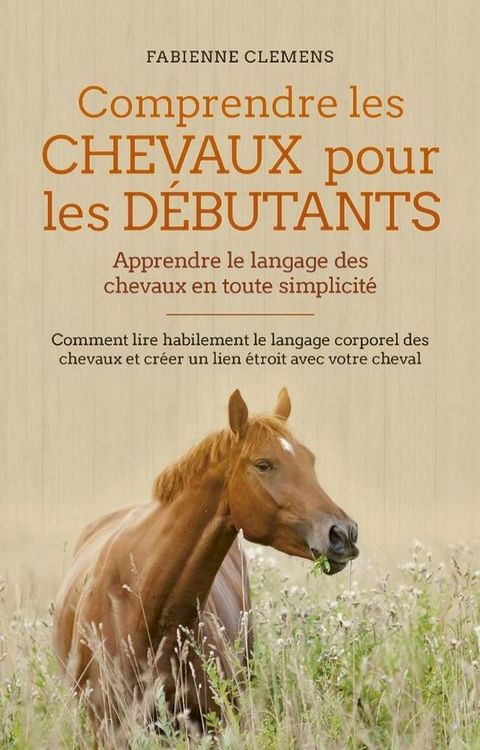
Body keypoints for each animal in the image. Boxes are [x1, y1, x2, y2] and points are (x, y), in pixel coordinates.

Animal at [53, 388, 359, 744]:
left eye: (309, 460)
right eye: (263, 464)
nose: (343, 533)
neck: (144, 610)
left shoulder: (211, 727)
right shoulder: (108, 730)